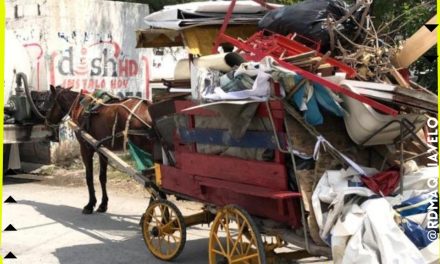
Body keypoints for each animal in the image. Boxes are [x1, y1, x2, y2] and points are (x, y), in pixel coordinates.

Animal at [45, 85, 156, 213]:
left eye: (49, 101)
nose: (46, 122)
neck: (79, 107)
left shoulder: (85, 148)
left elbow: (89, 177)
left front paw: (90, 204)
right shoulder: (102, 150)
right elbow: (102, 177)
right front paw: (103, 204)